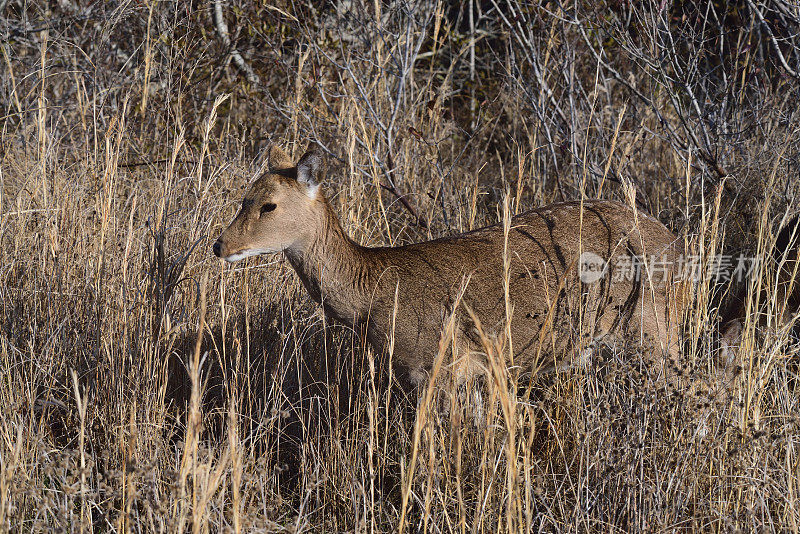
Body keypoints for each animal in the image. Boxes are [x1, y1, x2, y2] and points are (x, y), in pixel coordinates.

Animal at [211, 144, 712, 388]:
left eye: (269, 206)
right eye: (243, 198)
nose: (220, 245)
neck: (371, 293)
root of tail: (681, 246)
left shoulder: (444, 363)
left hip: (654, 329)